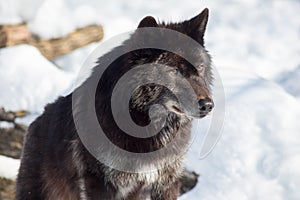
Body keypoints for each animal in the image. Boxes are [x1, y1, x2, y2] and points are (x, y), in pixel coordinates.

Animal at [16, 8, 213, 200]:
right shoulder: (100, 182)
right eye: (174, 71)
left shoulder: (166, 182)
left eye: (200, 68)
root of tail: (33, 125)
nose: (208, 105)